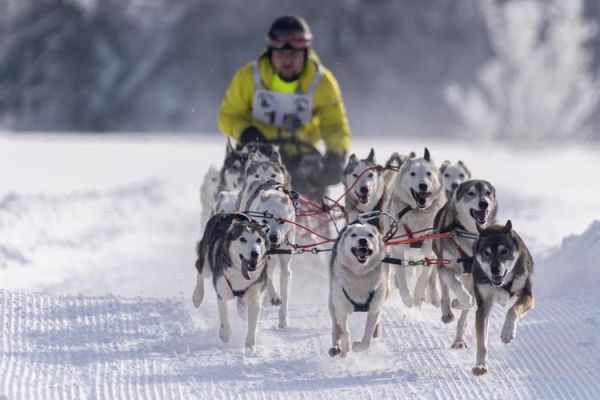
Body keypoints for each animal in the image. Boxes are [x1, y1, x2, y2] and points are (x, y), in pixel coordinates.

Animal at [328, 222, 390, 356]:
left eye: (370, 235)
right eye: (354, 235)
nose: (363, 240)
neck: (359, 273)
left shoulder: (374, 309)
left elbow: (367, 339)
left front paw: (357, 346)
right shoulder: (341, 310)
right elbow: (345, 331)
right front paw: (345, 349)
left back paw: (377, 329)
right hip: (331, 302)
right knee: (335, 327)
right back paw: (335, 346)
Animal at [472, 222, 532, 376]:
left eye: (504, 251)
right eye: (487, 253)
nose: (495, 270)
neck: (502, 284)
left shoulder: (527, 296)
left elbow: (512, 310)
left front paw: (507, 332)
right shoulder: (483, 307)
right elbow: (481, 341)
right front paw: (480, 365)